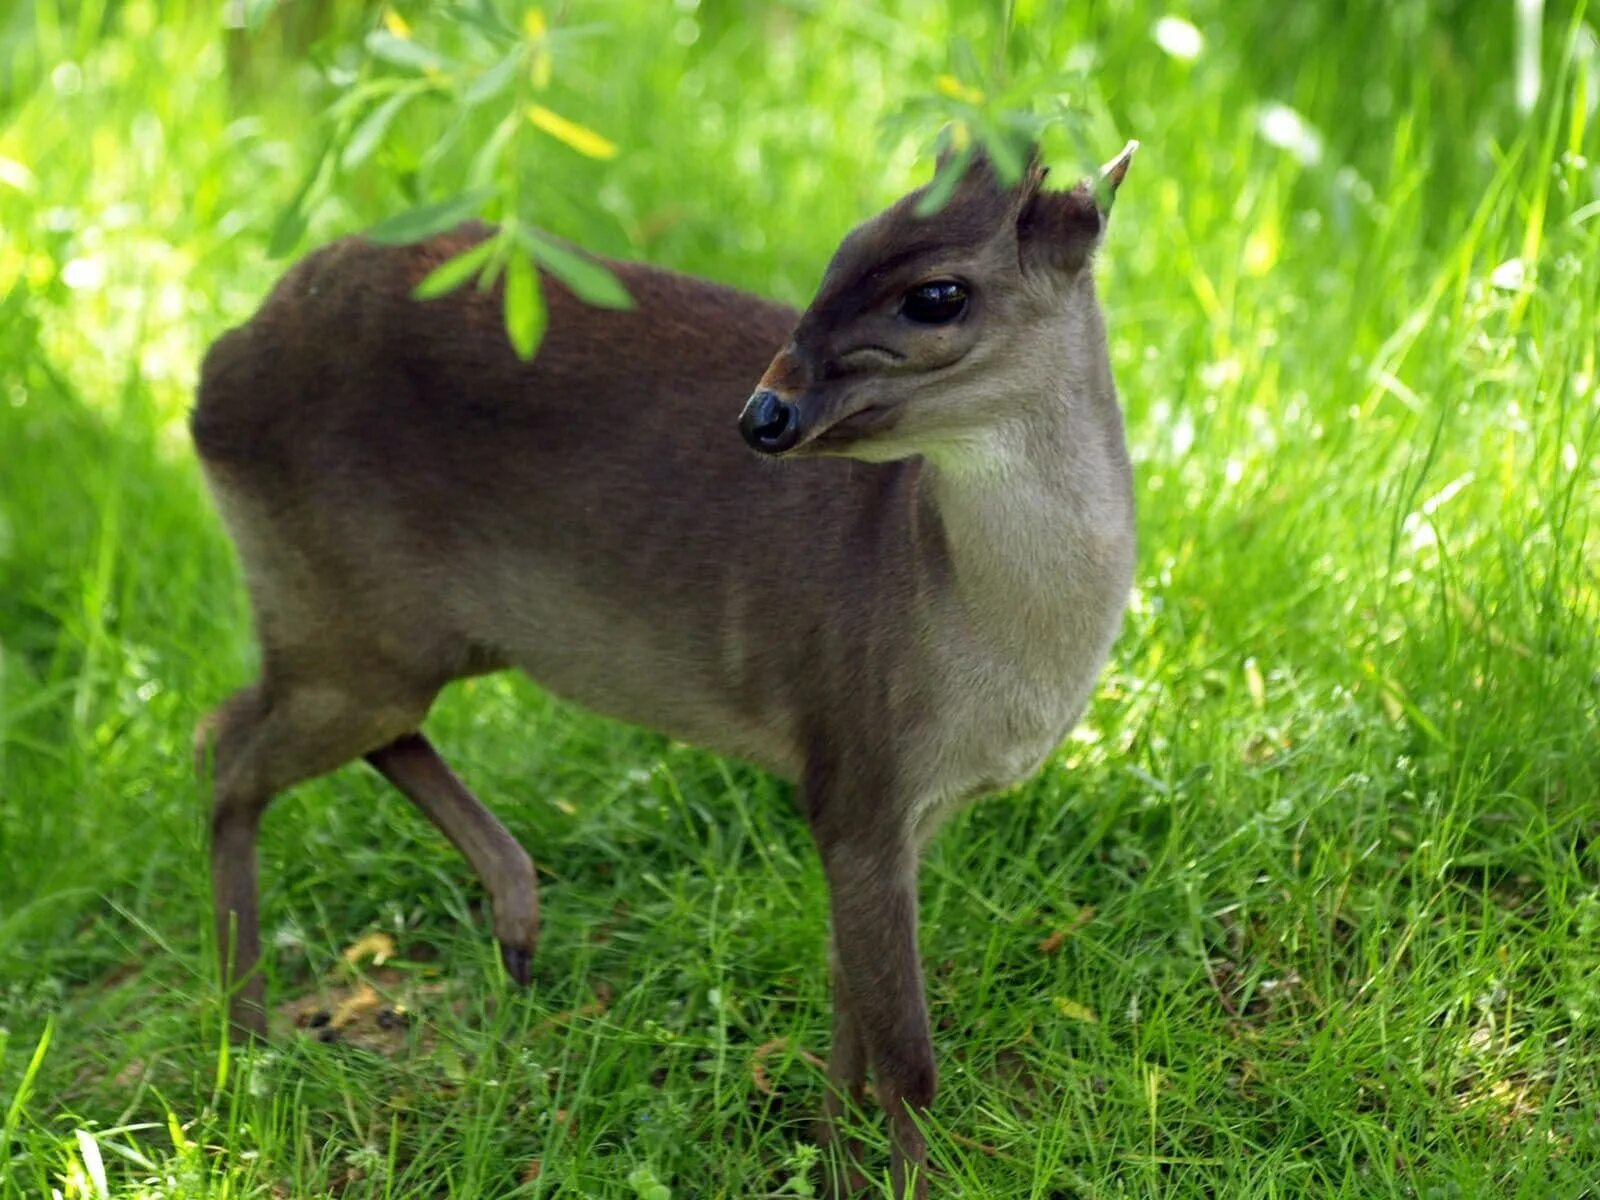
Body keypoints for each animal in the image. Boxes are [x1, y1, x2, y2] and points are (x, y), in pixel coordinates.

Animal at [190, 138, 1139, 1196]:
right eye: (843, 249)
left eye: (937, 294)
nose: (765, 414)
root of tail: (219, 365)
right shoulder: (854, 759)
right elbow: (908, 1056)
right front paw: (887, 1180)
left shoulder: (898, 808)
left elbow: (852, 1003)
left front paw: (826, 1159)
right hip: (338, 612)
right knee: (225, 747)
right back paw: (247, 1045)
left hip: (393, 635)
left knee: (323, 731)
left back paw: (513, 922)